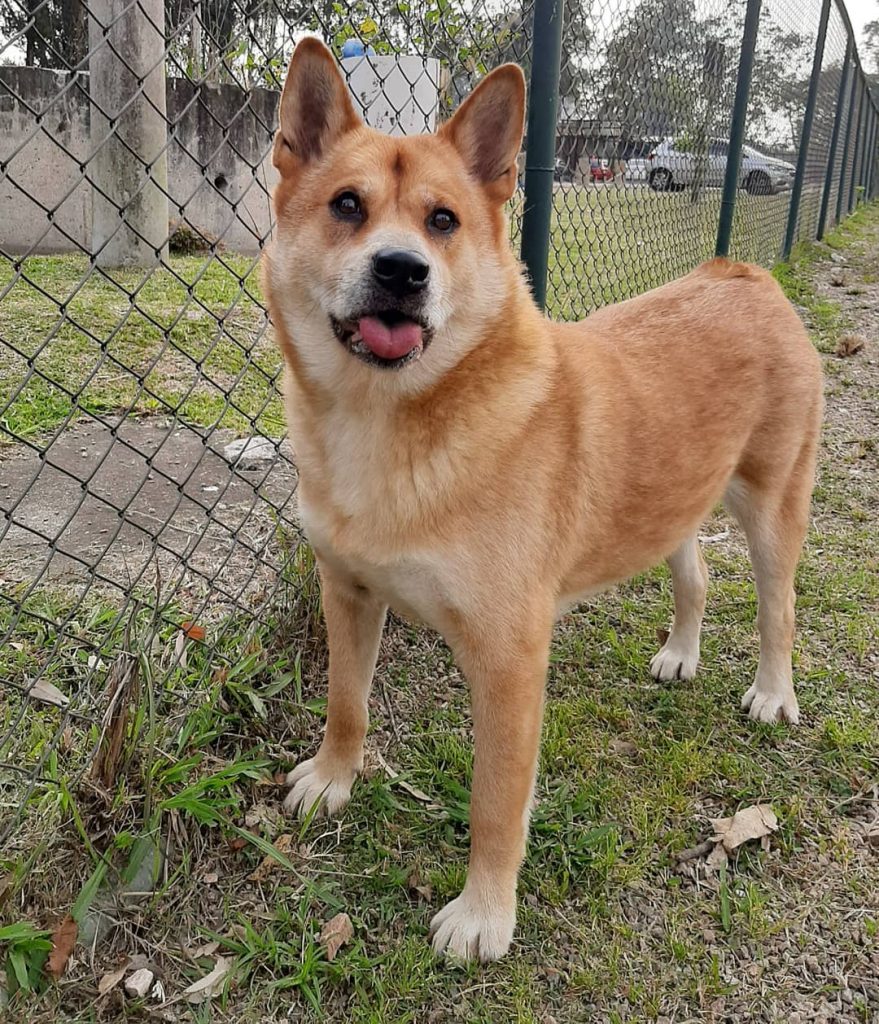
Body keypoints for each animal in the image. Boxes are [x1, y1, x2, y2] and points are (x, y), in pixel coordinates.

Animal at [260, 37, 823, 958]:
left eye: (442, 221)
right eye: (347, 205)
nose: (401, 271)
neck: (395, 424)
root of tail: (737, 270)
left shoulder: (508, 660)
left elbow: (496, 804)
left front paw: (485, 914)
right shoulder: (346, 592)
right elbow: (345, 704)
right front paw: (335, 778)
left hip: (772, 507)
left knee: (777, 609)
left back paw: (773, 694)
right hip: (670, 500)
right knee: (695, 575)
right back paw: (680, 652)